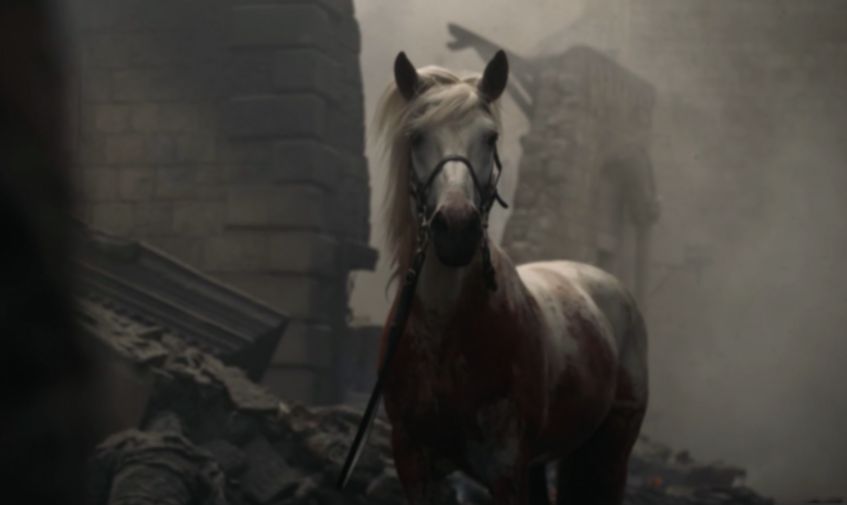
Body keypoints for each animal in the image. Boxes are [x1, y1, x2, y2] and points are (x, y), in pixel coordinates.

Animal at [374, 50, 649, 505]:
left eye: (490, 138)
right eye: (415, 137)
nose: (456, 228)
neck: (445, 333)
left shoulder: (506, 469)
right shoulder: (412, 460)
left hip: (611, 449)